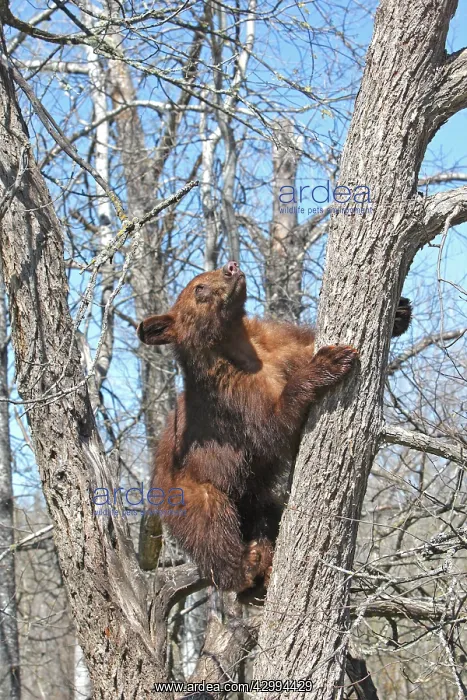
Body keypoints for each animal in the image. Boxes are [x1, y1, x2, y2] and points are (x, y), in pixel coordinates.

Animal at [138, 261, 411, 597]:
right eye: (198, 288)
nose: (231, 267)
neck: (237, 342)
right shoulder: (231, 396)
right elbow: (272, 427)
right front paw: (329, 361)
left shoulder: (278, 343)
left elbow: (303, 344)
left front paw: (399, 313)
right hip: (191, 490)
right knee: (210, 527)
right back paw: (243, 569)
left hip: (254, 494)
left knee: (267, 512)